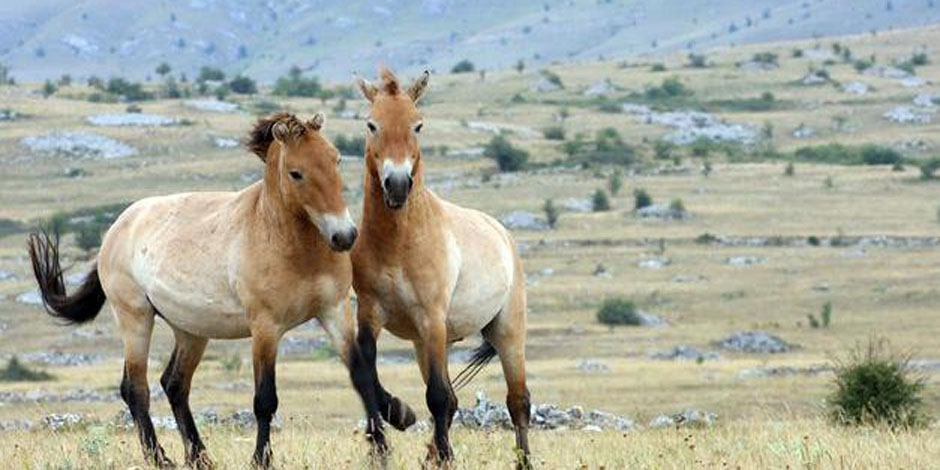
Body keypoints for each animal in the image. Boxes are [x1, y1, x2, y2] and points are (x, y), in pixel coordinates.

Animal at [27, 112, 360, 468]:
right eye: (296, 173)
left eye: (336, 159)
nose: (344, 236)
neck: (289, 241)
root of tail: (116, 228)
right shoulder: (266, 329)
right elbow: (264, 401)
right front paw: (261, 459)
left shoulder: (335, 311)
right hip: (135, 318)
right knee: (136, 389)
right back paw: (159, 458)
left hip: (190, 330)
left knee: (174, 384)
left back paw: (199, 457)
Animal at [350, 68, 532, 468]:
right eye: (371, 124)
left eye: (418, 125)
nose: (397, 185)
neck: (398, 245)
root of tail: (502, 233)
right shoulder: (370, 313)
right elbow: (369, 375)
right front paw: (392, 423)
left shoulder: (431, 318)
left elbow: (436, 396)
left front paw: (438, 447)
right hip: (427, 343)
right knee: (453, 399)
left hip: (505, 332)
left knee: (518, 403)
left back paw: (522, 460)